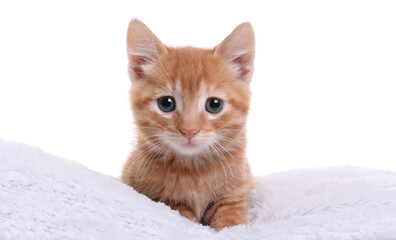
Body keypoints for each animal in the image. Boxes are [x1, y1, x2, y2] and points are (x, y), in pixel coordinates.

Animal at [122, 18, 255, 231]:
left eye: (214, 104)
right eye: (166, 103)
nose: (189, 130)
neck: (194, 171)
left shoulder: (234, 195)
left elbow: (230, 222)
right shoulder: (158, 198)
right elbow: (181, 214)